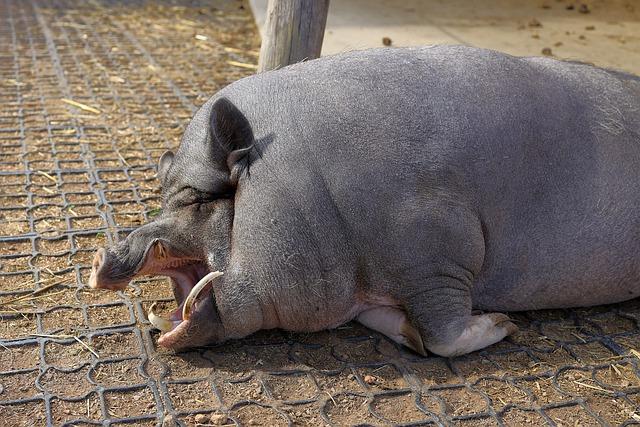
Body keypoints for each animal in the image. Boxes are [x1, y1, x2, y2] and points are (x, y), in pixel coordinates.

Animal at [89, 45, 640, 358]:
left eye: (198, 201)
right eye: (164, 198)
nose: (104, 255)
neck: (314, 196)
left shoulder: (440, 244)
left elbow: (443, 333)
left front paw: (503, 326)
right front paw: (407, 334)